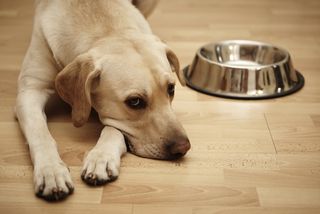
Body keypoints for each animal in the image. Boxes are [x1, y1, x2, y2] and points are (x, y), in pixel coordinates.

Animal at [15, 0, 190, 201]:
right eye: (135, 102)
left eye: (171, 89)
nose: (183, 147)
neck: (106, 29)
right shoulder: (30, 90)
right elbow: (40, 133)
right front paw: (51, 171)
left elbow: (113, 129)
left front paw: (101, 158)